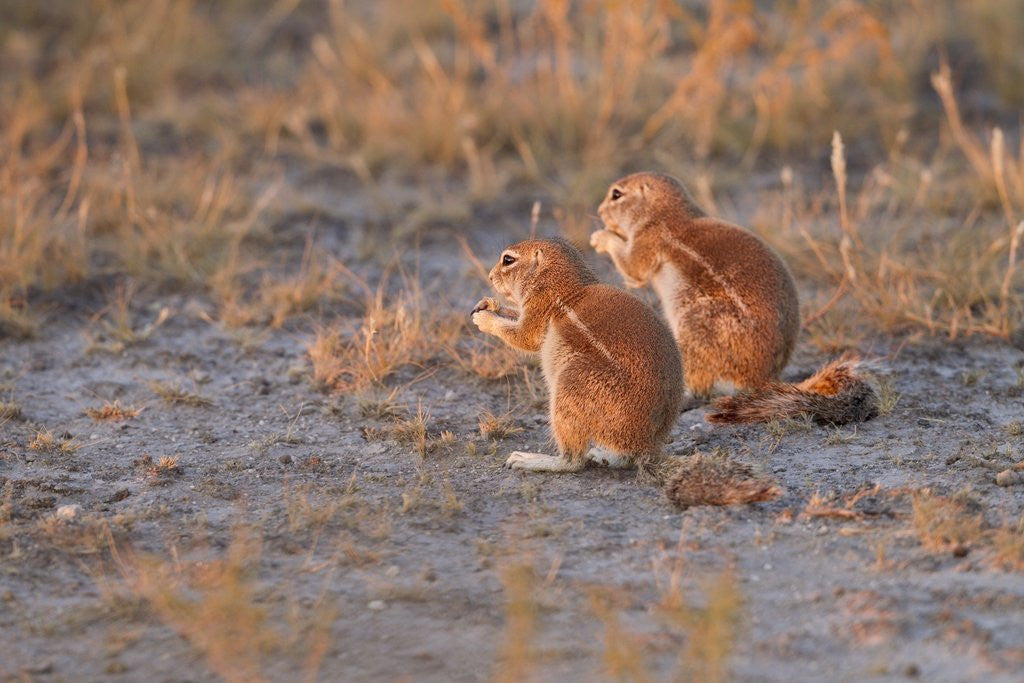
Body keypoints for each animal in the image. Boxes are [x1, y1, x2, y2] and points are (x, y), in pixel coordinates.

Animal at [471, 238, 682, 475]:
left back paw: (529, 460)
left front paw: (485, 319)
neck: (565, 285)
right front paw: (489, 304)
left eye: (508, 260)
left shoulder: (538, 307)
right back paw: (602, 457)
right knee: (624, 457)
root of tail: (647, 444)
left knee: (573, 460)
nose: (490, 276)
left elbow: (524, 337)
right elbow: (514, 316)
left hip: (570, 385)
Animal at [590, 171, 877, 425]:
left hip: (695, 324)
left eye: (616, 194)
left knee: (701, 383)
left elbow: (632, 268)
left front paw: (600, 237)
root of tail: (764, 379)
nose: (599, 212)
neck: (665, 211)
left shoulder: (649, 240)